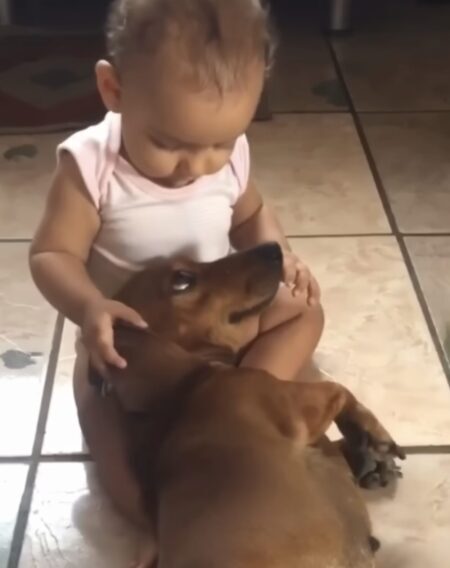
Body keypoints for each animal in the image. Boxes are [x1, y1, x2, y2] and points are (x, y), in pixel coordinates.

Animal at [91, 243, 404, 568]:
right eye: (182, 280)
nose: (272, 247)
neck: (180, 392)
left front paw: (367, 457)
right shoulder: (286, 400)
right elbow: (340, 392)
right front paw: (370, 434)